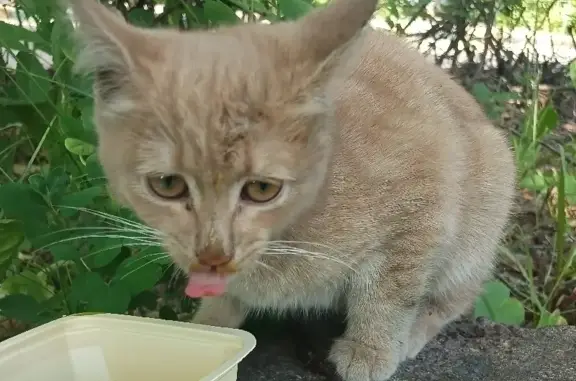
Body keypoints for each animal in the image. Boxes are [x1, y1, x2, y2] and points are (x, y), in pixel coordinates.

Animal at [68, 0, 516, 378]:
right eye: (167, 184)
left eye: (263, 188)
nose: (213, 254)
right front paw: (208, 329)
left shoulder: (425, 201)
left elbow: (391, 290)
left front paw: (371, 349)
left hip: (486, 203)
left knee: (458, 293)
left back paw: (417, 330)